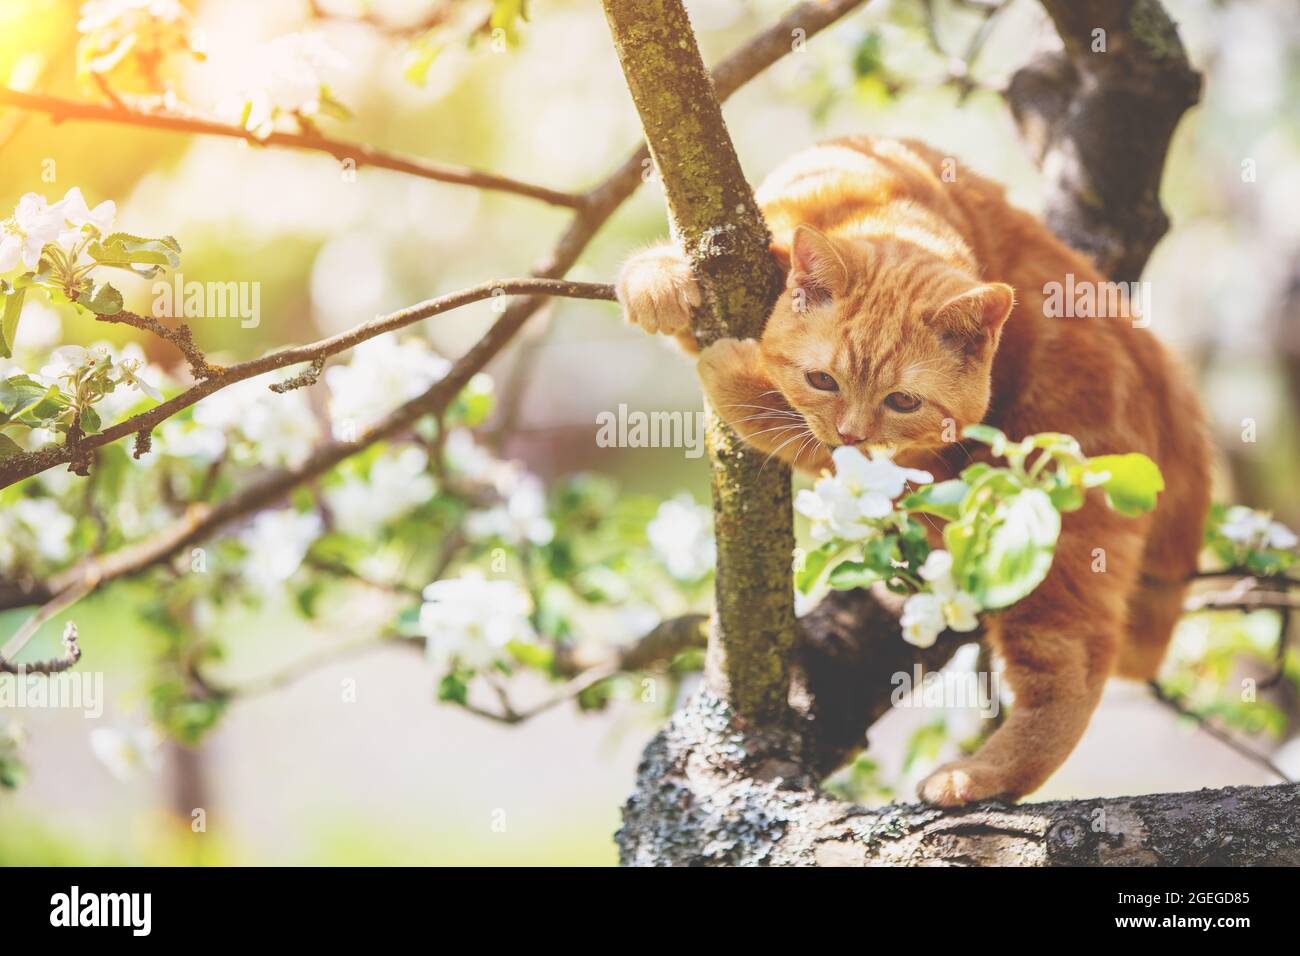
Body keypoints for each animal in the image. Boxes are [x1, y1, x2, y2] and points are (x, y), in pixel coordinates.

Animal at [616, 134, 1206, 806]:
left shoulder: (910, 467)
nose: (854, 432)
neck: (878, 198)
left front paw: (733, 377)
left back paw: (978, 777)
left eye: (902, 401)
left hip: (1039, 534)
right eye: (823, 379)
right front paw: (658, 280)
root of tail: (1155, 360)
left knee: (1073, 674)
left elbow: (783, 421)